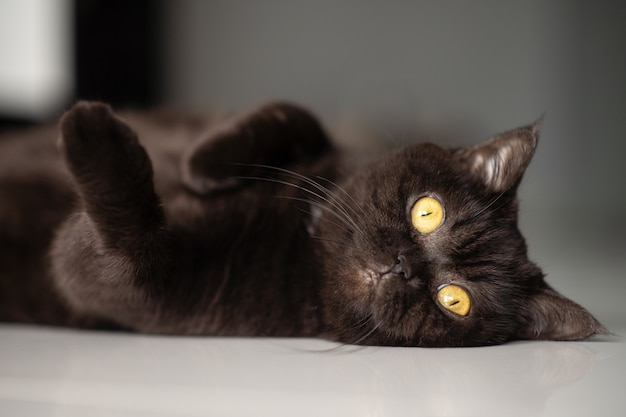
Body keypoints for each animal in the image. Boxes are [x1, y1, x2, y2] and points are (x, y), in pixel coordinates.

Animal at [0, 100, 604, 344]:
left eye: (453, 300)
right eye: (427, 212)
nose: (404, 266)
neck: (305, 235)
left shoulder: (135, 288)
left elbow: (122, 246)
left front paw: (90, 131)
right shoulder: (324, 144)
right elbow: (300, 116)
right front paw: (207, 161)